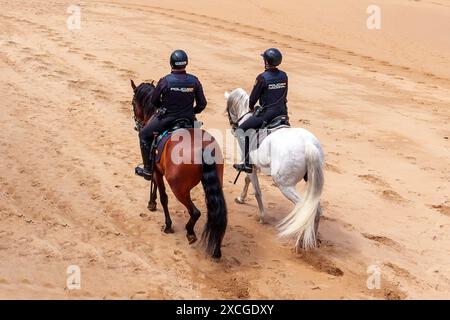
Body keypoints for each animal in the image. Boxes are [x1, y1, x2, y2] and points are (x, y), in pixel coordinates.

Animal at [132, 80, 227, 258]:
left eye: (134, 103)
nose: (137, 124)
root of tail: (202, 147)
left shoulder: (156, 171)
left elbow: (162, 196)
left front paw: (163, 219)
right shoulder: (157, 169)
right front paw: (152, 203)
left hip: (179, 188)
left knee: (195, 212)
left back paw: (190, 232)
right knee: (218, 213)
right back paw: (216, 249)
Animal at [224, 88, 324, 250]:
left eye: (228, 110)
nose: (233, 128)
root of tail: (307, 144)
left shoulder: (249, 165)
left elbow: (257, 191)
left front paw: (262, 217)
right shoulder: (254, 166)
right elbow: (247, 180)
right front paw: (241, 198)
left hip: (284, 185)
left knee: (304, 209)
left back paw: (300, 241)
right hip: (311, 182)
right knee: (315, 209)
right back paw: (311, 241)